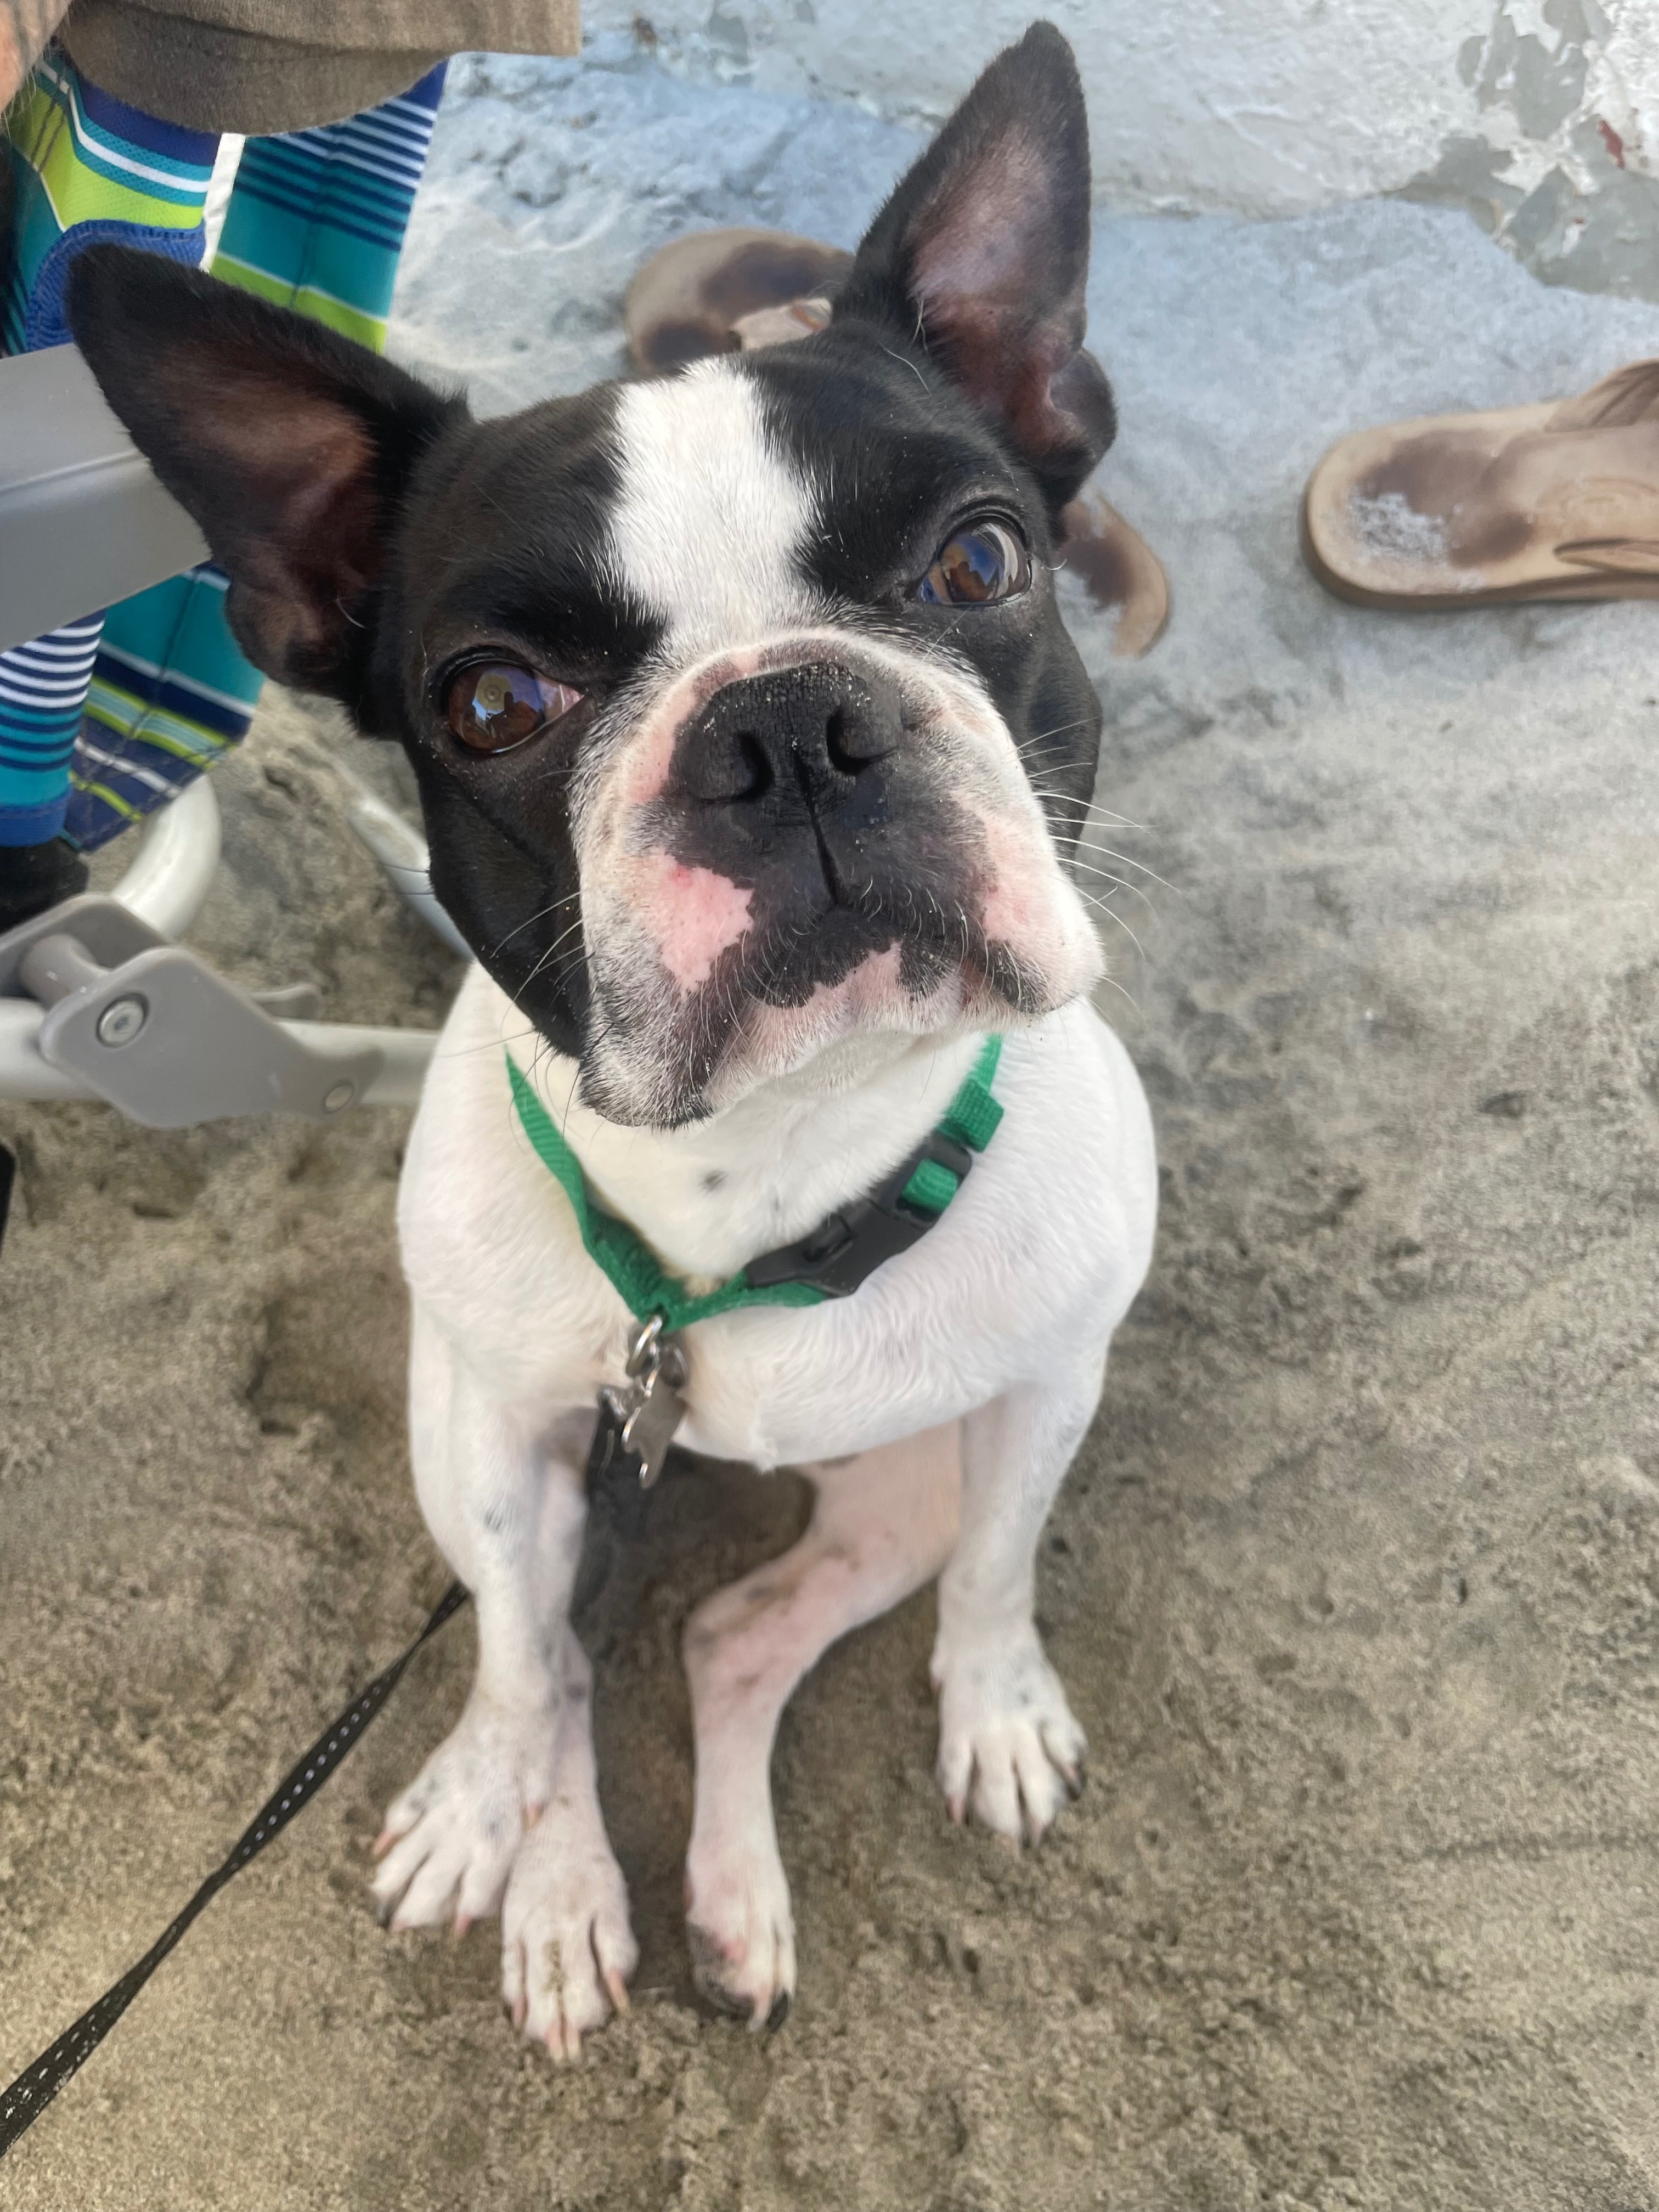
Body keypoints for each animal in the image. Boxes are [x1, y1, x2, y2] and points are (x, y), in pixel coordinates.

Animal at [67, 20, 1157, 2055]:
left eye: (982, 566)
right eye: (495, 702)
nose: (786, 725)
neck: (773, 1150)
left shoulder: (1047, 1383)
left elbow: (999, 1565)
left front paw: (997, 1709)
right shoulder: (501, 1439)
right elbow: (520, 1659)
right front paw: (504, 1821)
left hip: (889, 1475)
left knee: (729, 1638)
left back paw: (726, 1899)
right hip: (469, 1433)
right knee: (553, 1660)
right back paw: (537, 1867)